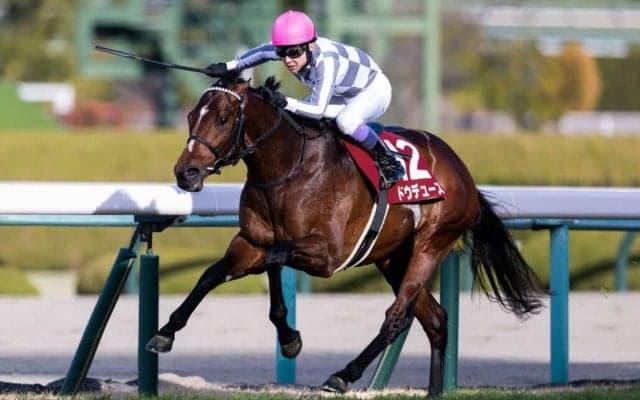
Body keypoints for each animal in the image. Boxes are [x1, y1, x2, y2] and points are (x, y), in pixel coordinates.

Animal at [146, 73, 546, 396]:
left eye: (223, 118)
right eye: (191, 116)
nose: (186, 173)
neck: (289, 169)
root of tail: (464, 173)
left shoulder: (328, 255)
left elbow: (276, 259)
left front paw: (290, 339)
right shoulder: (250, 243)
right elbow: (211, 274)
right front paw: (164, 332)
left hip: (430, 244)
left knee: (397, 316)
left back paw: (342, 375)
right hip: (392, 257)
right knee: (434, 319)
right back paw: (432, 391)